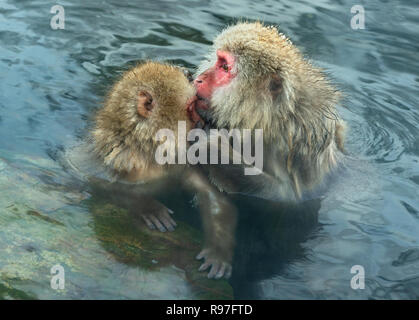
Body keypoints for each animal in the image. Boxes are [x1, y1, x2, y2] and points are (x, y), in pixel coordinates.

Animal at [91, 62, 236, 278]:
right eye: (191, 108)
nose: (204, 125)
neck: (149, 150)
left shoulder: (182, 162)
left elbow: (213, 198)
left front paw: (217, 254)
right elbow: (99, 185)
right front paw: (148, 207)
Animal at [192, 22, 346, 201]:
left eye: (225, 67)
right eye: (219, 60)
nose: (199, 79)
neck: (273, 120)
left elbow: (290, 196)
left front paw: (214, 151)